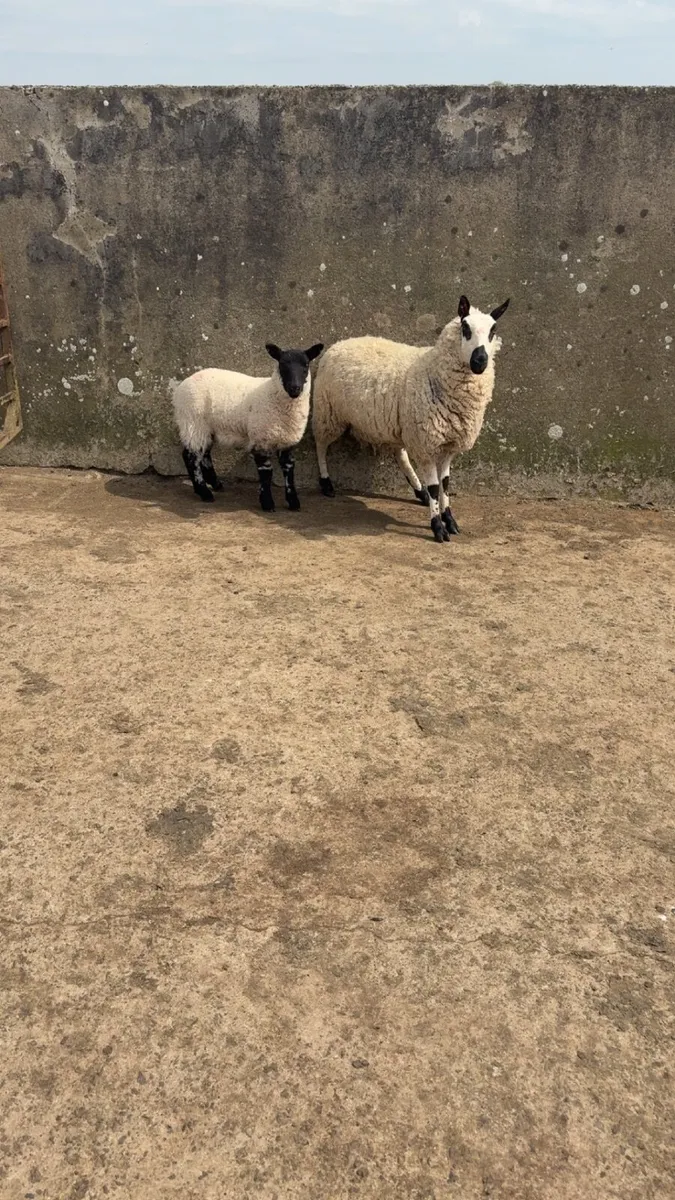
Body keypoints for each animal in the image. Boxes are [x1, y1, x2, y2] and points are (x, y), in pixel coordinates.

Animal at [173, 341, 323, 511]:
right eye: (282, 364)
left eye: (306, 364)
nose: (294, 388)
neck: (271, 393)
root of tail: (180, 387)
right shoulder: (260, 438)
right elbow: (266, 472)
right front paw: (267, 503)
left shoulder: (287, 440)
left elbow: (289, 469)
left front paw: (293, 502)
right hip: (193, 422)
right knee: (190, 457)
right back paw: (204, 493)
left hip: (205, 427)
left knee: (204, 454)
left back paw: (216, 484)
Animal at [312, 295, 509, 543]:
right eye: (465, 328)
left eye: (493, 331)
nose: (480, 361)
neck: (433, 370)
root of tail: (340, 343)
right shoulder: (426, 442)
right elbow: (435, 487)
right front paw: (438, 527)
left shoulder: (448, 444)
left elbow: (445, 484)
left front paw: (449, 519)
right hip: (328, 413)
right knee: (320, 444)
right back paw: (326, 483)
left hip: (397, 425)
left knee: (400, 455)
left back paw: (419, 491)